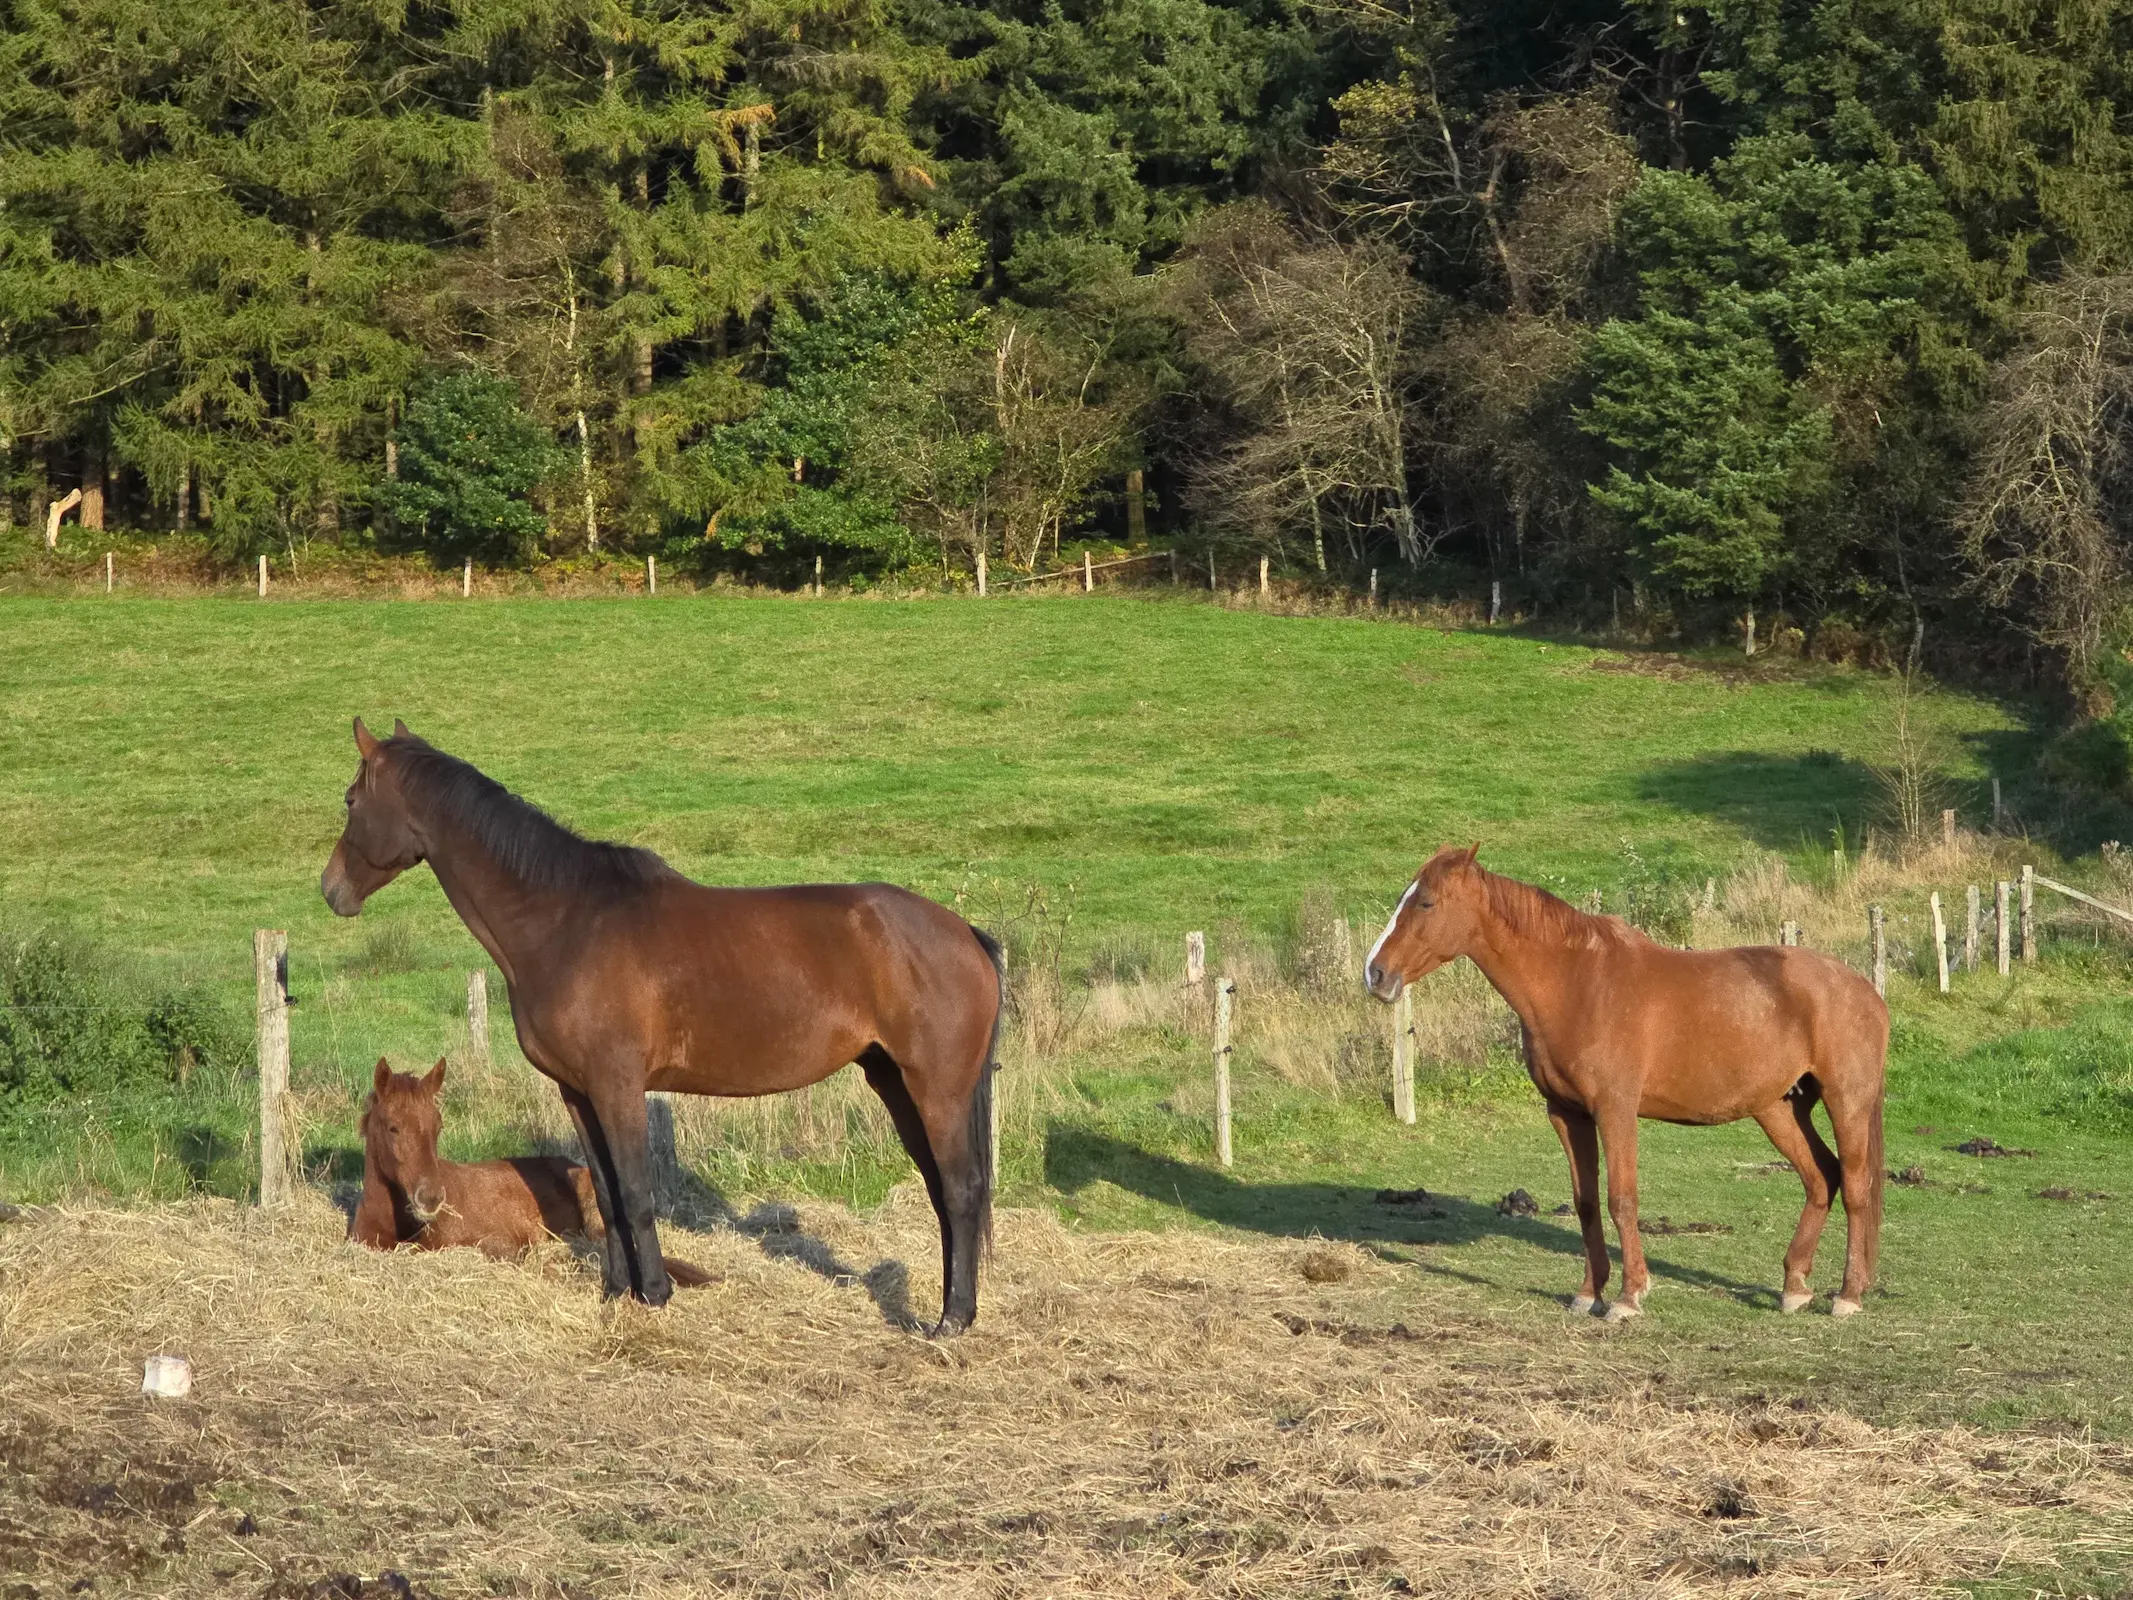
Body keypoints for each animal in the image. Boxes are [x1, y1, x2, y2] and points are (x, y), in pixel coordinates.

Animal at [1365, 845, 1887, 1320]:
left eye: (1426, 902)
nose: (1375, 973)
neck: (1576, 983)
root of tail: (1865, 990)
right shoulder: (1567, 1113)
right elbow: (1587, 1202)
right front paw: (1588, 1293)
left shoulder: (1615, 1109)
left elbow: (1621, 1198)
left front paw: (1629, 1297)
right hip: (1778, 1107)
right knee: (1821, 1177)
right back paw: (1794, 1287)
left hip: (1846, 1102)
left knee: (1855, 1185)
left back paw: (1848, 1295)